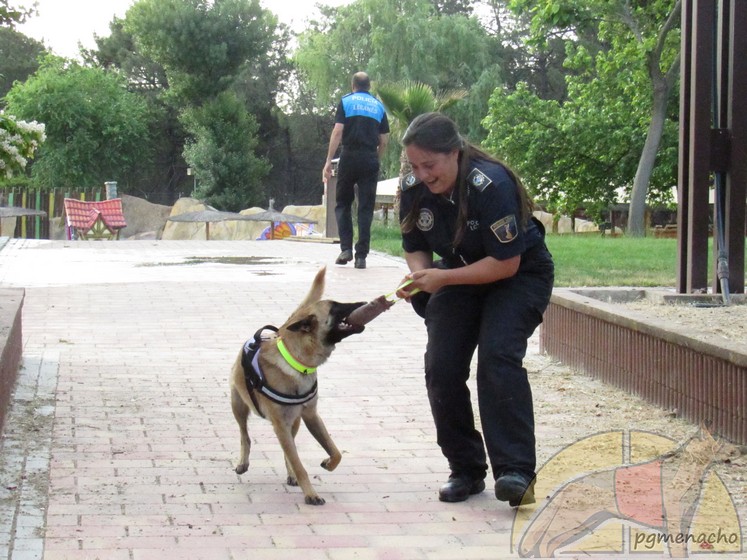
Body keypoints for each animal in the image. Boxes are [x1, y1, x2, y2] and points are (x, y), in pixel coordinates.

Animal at [228, 264, 368, 506]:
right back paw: (243, 462)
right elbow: (299, 463)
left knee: (288, 449)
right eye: (335, 307)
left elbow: (335, 452)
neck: (297, 363)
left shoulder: (311, 416)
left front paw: (327, 464)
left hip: (295, 422)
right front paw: (311, 494)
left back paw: (290, 474)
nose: (364, 302)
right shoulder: (280, 425)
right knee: (245, 436)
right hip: (238, 405)